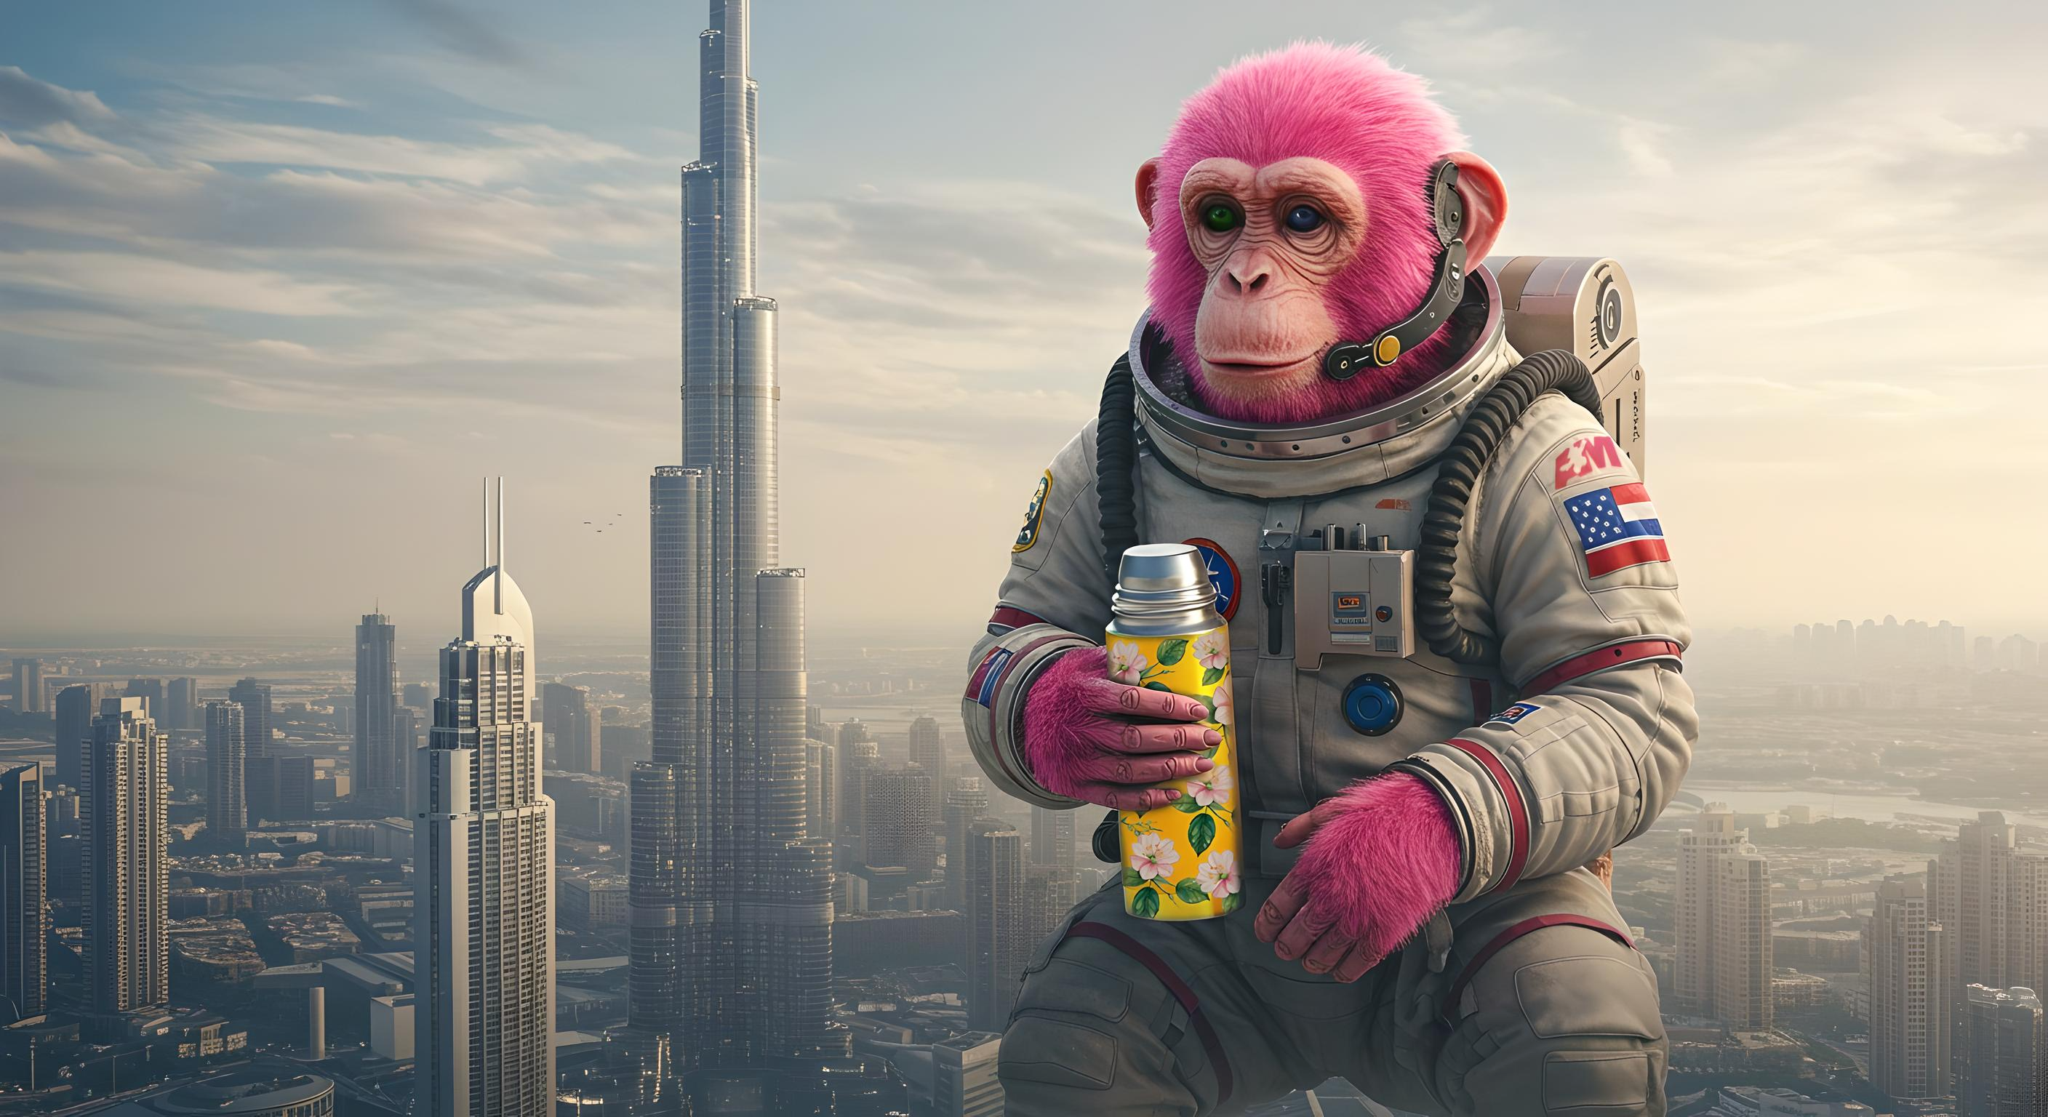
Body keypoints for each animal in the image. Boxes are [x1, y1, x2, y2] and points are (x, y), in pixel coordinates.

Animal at [962, 43, 1695, 1116]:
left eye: (1305, 220)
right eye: (1219, 217)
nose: (1244, 274)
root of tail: (1337, 1055)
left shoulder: (1563, 456)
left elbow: (1618, 688)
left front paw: (1371, 860)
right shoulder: (1083, 457)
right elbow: (1017, 634)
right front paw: (1085, 717)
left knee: (1564, 1021)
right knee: (1085, 1027)